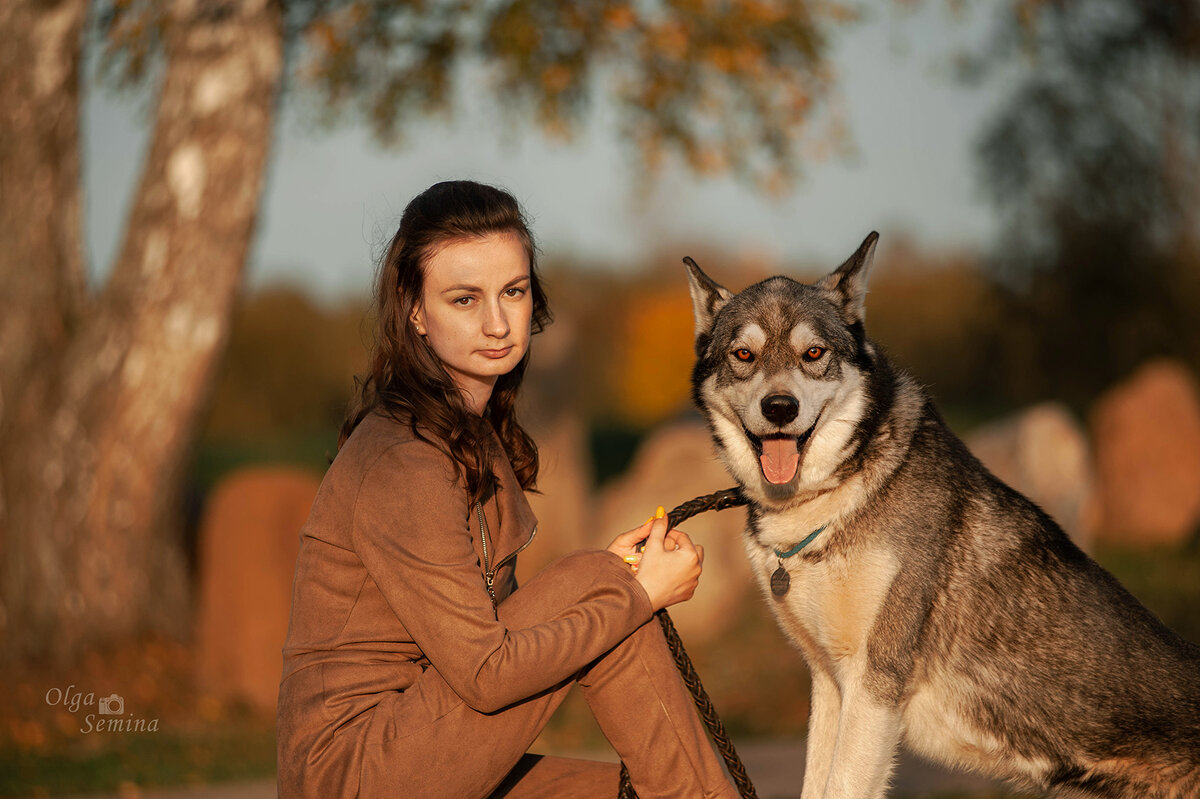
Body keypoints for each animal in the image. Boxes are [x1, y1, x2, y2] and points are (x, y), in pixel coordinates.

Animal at [686, 231, 1200, 796]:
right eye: (744, 354)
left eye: (813, 353)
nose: (780, 408)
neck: (835, 499)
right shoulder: (830, 685)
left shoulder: (874, 685)